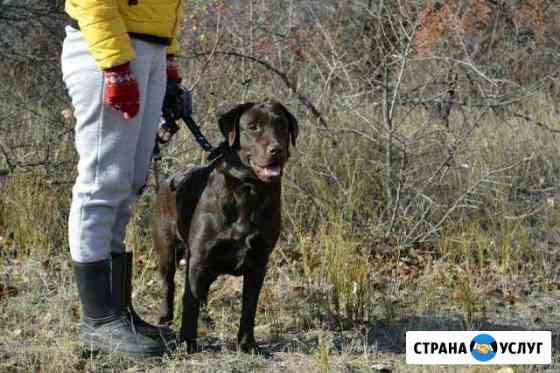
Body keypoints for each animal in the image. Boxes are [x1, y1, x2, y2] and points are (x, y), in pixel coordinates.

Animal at [151, 100, 296, 350]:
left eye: (281, 125)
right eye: (253, 127)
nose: (276, 150)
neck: (249, 189)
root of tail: (166, 180)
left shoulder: (258, 263)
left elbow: (249, 308)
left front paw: (247, 344)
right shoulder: (199, 258)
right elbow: (189, 302)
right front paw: (187, 342)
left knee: (203, 292)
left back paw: (206, 319)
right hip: (169, 251)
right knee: (169, 284)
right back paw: (165, 317)